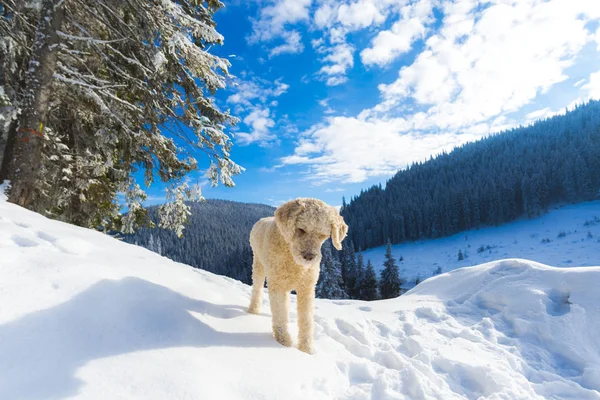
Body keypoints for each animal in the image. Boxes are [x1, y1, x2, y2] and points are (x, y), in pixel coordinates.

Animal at [247, 198, 346, 354]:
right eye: (301, 229)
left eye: (323, 235)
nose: (309, 257)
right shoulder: (276, 285)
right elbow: (280, 315)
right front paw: (284, 343)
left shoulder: (307, 288)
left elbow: (306, 321)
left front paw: (306, 350)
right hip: (258, 264)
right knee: (256, 289)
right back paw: (253, 310)